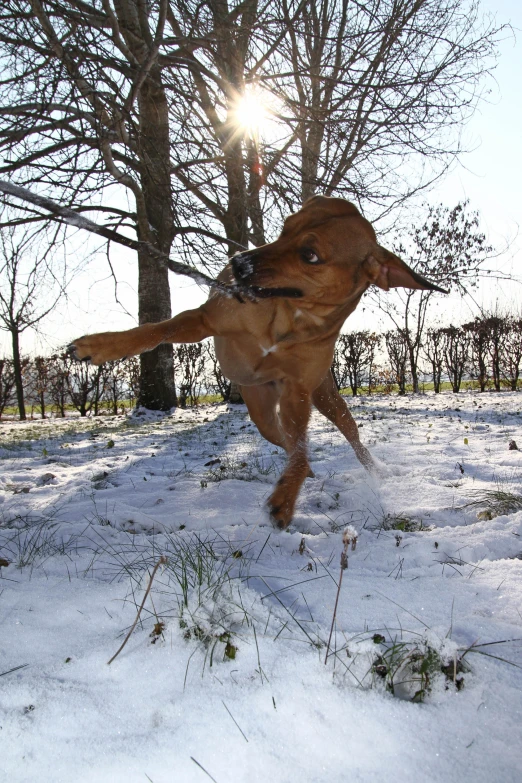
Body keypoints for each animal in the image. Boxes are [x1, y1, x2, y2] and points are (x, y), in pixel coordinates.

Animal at [70, 196, 442, 528]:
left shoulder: (297, 392)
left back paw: (371, 470)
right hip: (262, 410)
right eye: (285, 227)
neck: (287, 321)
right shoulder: (204, 319)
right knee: (283, 439)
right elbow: (154, 331)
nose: (238, 264)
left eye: (310, 255)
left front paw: (287, 499)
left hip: (325, 396)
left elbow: (302, 450)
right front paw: (100, 345)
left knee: (342, 439)